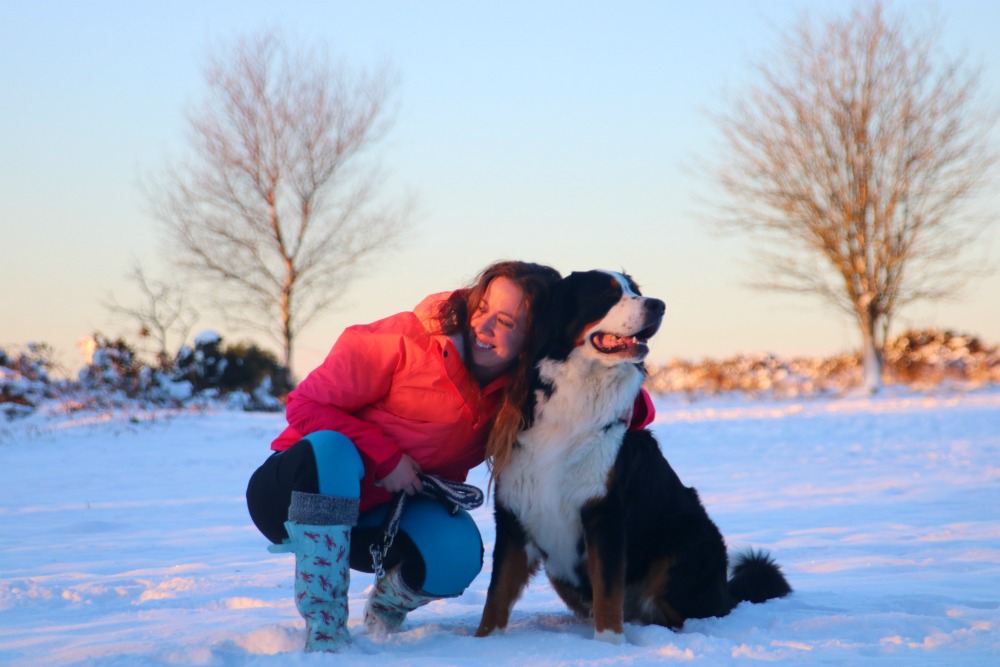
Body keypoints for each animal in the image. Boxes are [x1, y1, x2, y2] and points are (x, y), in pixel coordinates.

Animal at [472, 268, 792, 644]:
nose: (658, 305)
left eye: (634, 290)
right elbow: (497, 594)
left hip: (680, 552)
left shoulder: (605, 512)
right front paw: (483, 641)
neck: (572, 407)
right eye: (607, 295)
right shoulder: (515, 512)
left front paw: (610, 645)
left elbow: (608, 591)